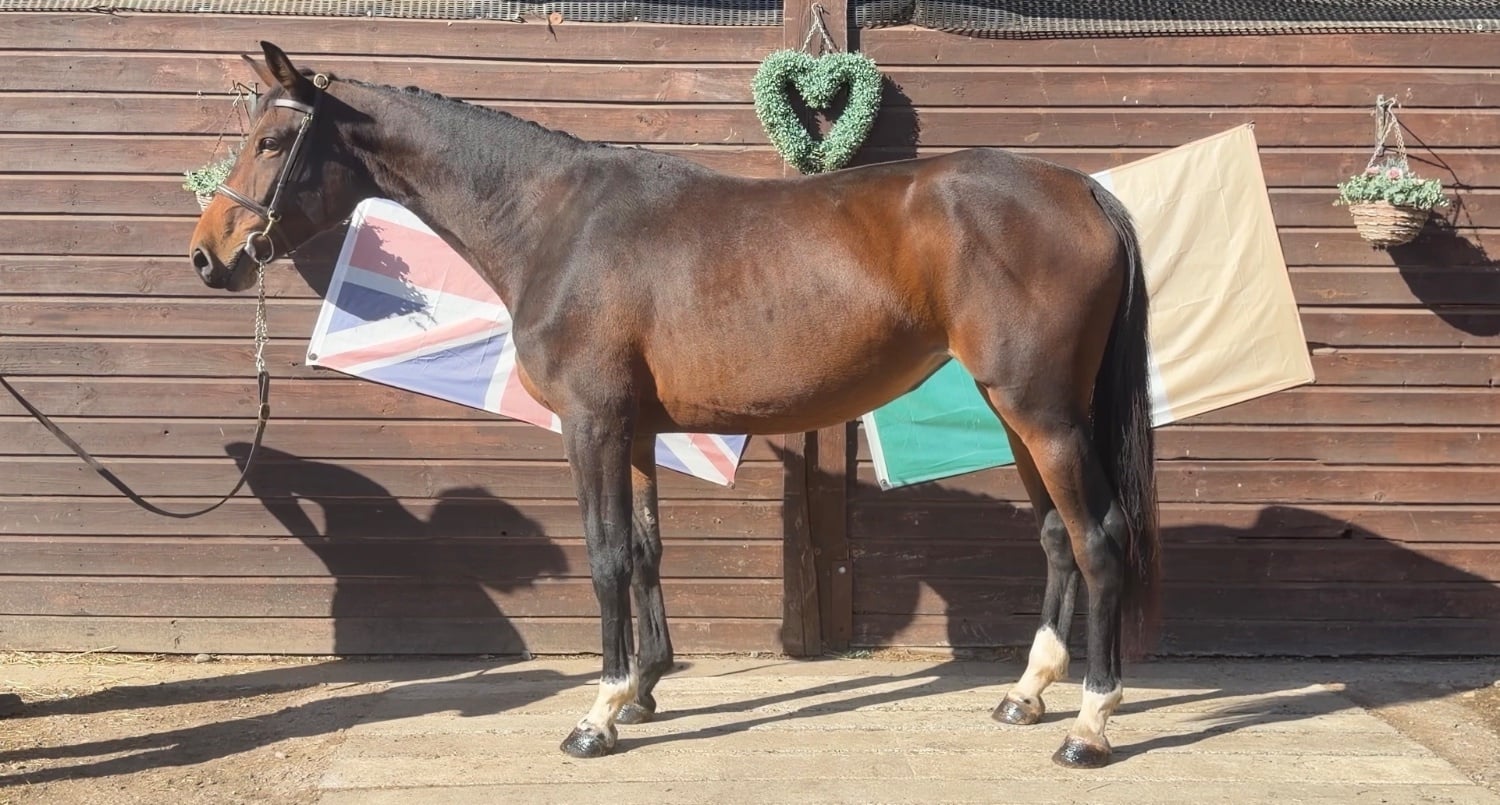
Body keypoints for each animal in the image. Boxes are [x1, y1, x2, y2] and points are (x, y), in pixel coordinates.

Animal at [188, 41, 1160, 769]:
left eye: (272, 143)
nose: (208, 256)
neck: (556, 222)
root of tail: (1082, 188)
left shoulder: (590, 424)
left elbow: (607, 555)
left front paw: (599, 712)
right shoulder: (635, 431)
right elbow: (648, 550)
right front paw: (646, 689)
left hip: (1043, 412)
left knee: (1099, 536)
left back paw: (1089, 723)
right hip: (1022, 413)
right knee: (1057, 537)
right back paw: (1025, 694)